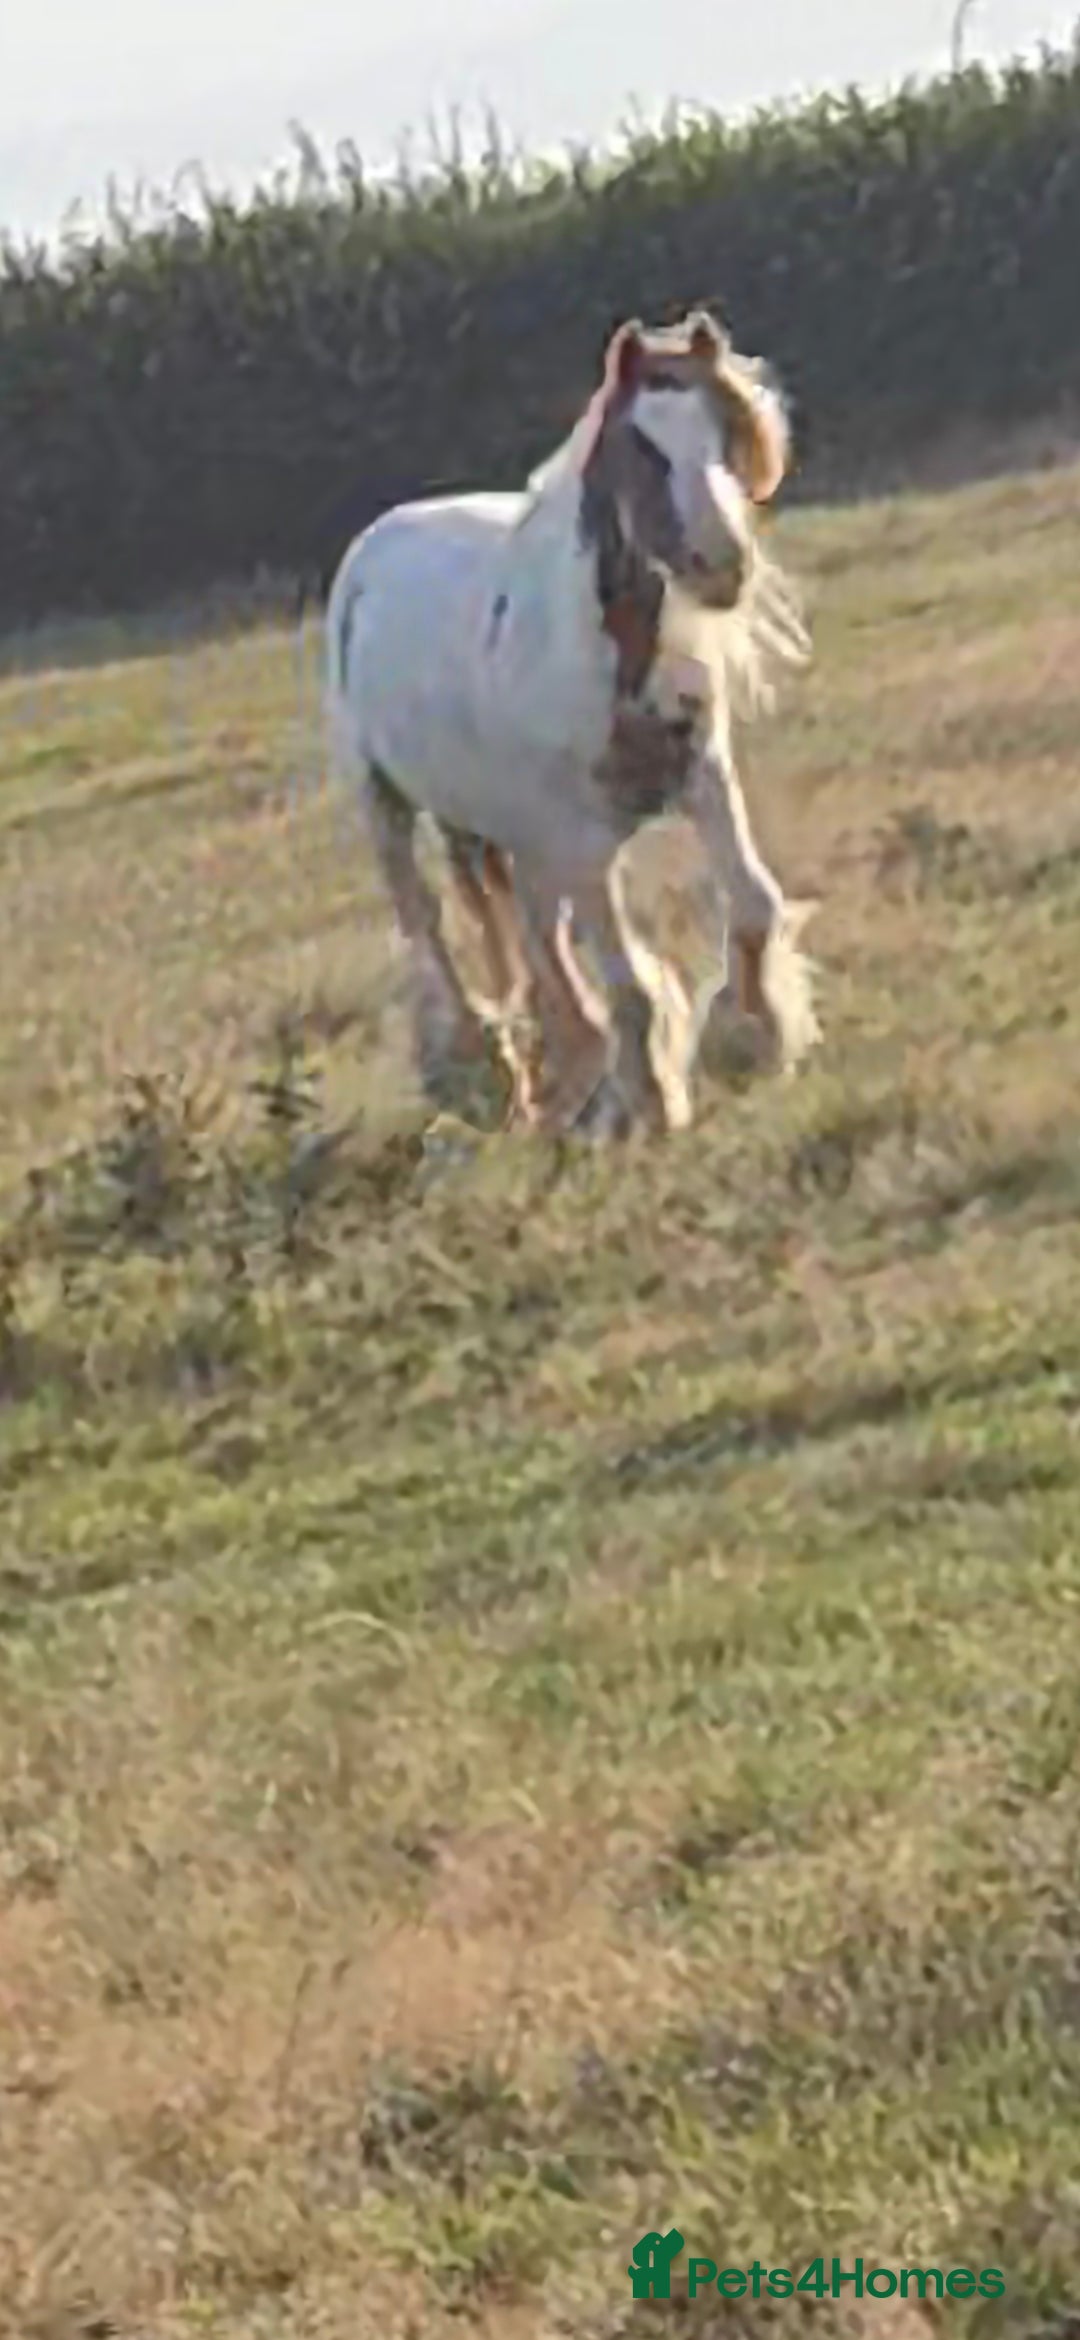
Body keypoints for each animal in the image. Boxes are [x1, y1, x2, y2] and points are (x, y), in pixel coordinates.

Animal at [325, 306, 817, 1137]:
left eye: (725, 433)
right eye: (642, 448)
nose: (723, 566)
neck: (605, 653)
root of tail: (373, 546)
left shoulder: (705, 782)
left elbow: (754, 902)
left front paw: (748, 1042)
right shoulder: (580, 842)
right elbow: (628, 984)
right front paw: (650, 1103)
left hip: (505, 833)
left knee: (529, 935)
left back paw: (555, 1072)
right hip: (388, 803)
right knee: (428, 926)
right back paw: (479, 1069)